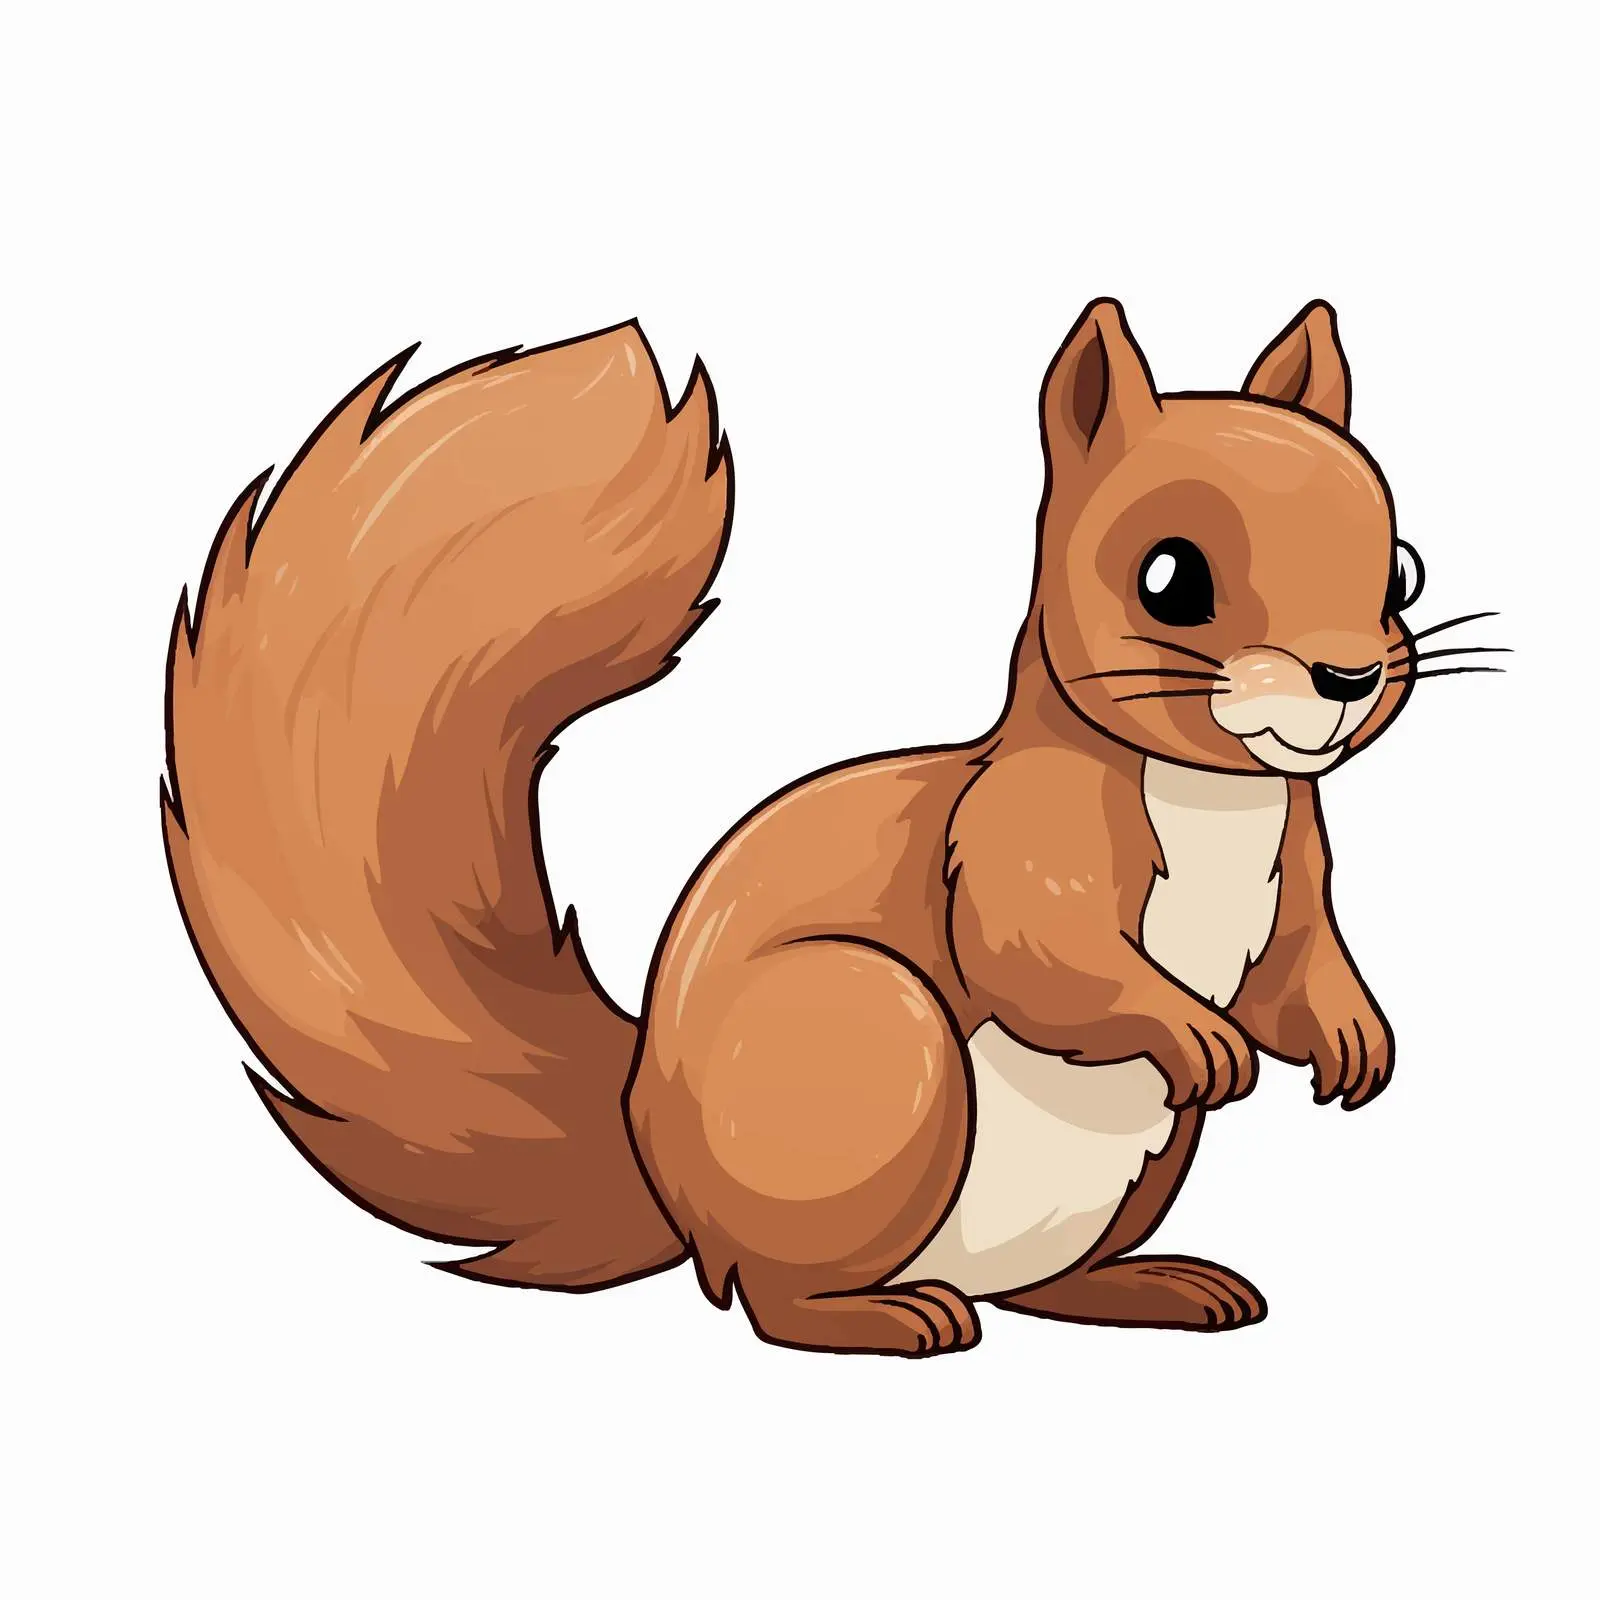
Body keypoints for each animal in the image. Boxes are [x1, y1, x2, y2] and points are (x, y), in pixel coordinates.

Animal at [164, 298, 1430, 1357]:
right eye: (1171, 579)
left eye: (1401, 573)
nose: (1346, 677)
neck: (1213, 794)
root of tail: (659, 1169)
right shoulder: (1017, 835)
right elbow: (1042, 958)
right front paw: (1193, 1032)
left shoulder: (1296, 873)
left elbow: (1296, 965)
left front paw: (1353, 1037)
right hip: (872, 1044)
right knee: (774, 1298)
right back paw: (887, 1318)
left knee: (1041, 1285)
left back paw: (1154, 1286)